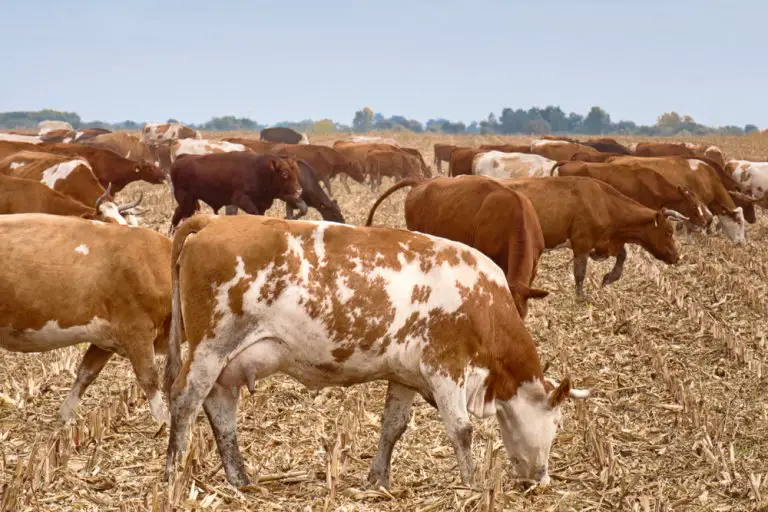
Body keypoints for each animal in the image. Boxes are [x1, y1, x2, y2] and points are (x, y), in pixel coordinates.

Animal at [0, 214, 172, 422]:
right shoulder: (137, 329)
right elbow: (149, 377)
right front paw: (165, 421)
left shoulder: (106, 338)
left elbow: (86, 372)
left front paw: (66, 415)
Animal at [163, 214, 589, 489]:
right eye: (558, 423)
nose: (542, 480)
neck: (480, 299)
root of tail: (213, 221)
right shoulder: (445, 367)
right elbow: (462, 429)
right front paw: (472, 485)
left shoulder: (405, 375)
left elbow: (393, 426)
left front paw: (378, 479)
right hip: (210, 347)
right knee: (184, 401)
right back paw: (173, 474)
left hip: (226, 362)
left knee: (220, 411)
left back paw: (240, 480)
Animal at [169, 152, 307, 230]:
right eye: (284, 174)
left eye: (296, 172)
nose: (299, 190)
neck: (261, 171)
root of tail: (180, 159)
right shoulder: (242, 200)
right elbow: (253, 213)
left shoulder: (261, 205)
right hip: (186, 201)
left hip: (189, 202)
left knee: (177, 214)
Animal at [500, 177, 681, 296]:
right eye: (668, 232)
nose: (677, 257)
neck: (605, 204)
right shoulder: (582, 243)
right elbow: (580, 271)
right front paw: (581, 296)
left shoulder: (604, 242)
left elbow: (622, 255)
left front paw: (610, 277)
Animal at [607, 156, 748, 244]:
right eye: (738, 221)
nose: (741, 243)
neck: (707, 177)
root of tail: (614, 159)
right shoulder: (699, 201)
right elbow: (705, 219)